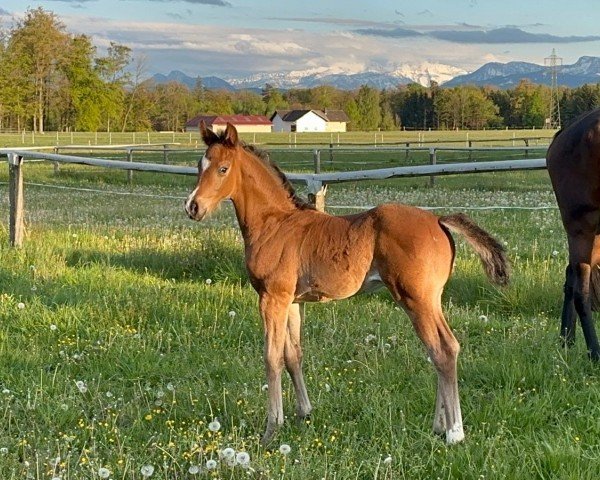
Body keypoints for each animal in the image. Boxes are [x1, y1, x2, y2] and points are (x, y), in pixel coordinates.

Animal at [185, 122, 508, 444]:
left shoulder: (271, 297)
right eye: (200, 165)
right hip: (430, 299)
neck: (274, 224)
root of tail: (439, 220)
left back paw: (454, 432)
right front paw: (304, 413)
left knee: (443, 350)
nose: (193, 207)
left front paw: (272, 429)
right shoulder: (292, 301)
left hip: (416, 298)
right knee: (440, 349)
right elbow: (293, 355)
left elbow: (272, 358)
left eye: (223, 168)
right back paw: (440, 426)